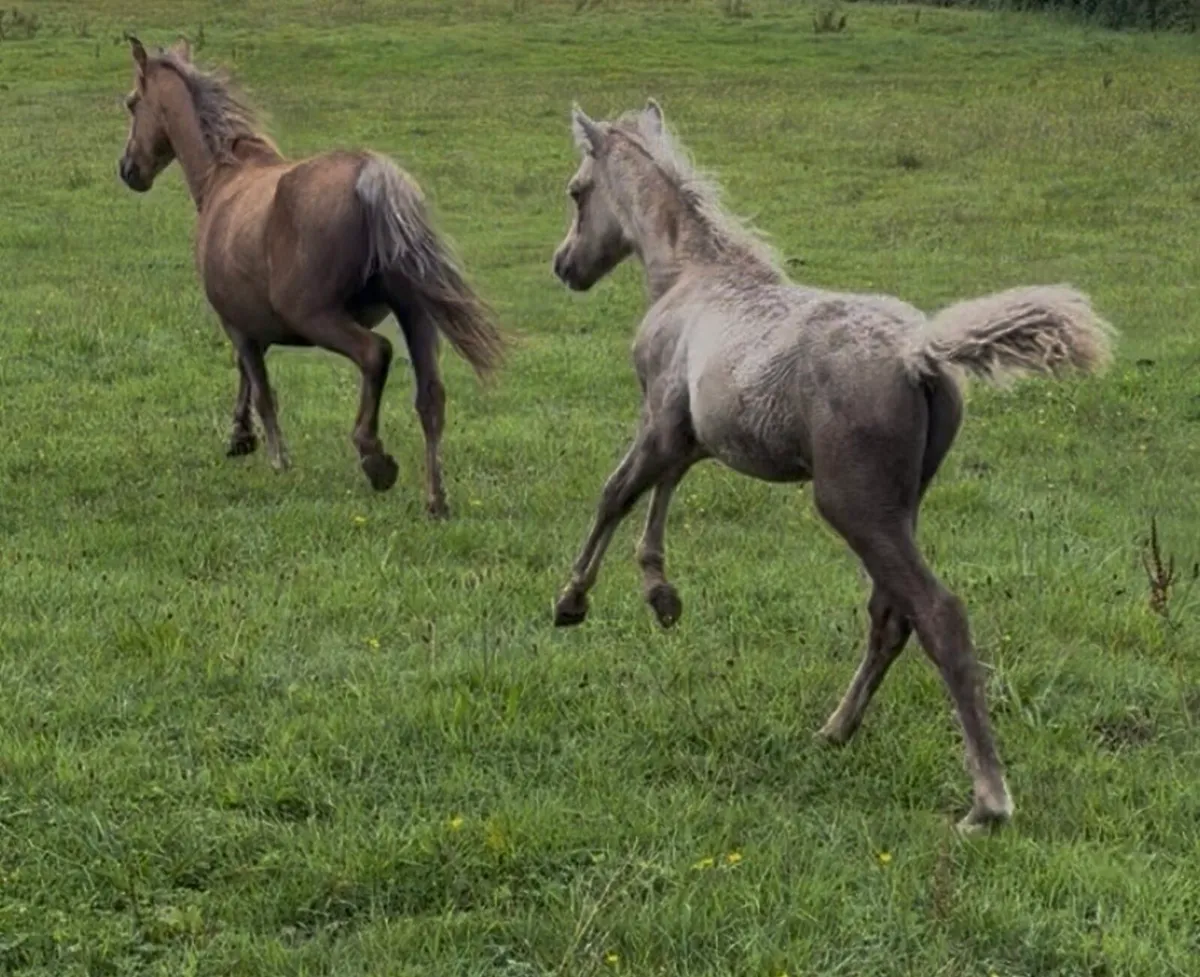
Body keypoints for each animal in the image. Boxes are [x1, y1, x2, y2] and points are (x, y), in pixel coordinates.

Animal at [117, 37, 504, 515]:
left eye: (132, 103)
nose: (128, 170)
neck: (222, 179)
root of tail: (374, 176)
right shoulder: (251, 321)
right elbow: (246, 376)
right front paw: (240, 437)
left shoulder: (236, 323)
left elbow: (261, 388)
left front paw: (275, 456)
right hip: (416, 314)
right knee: (430, 398)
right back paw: (436, 501)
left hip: (319, 318)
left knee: (375, 354)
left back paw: (375, 459)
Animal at [550, 99, 1115, 832]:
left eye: (576, 191)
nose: (564, 265)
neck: (691, 275)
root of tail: (920, 352)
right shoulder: (688, 434)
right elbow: (661, 491)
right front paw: (661, 595)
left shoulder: (659, 421)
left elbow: (615, 492)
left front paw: (572, 599)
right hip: (897, 507)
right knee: (890, 616)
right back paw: (837, 729)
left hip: (853, 505)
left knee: (938, 614)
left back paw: (987, 801)